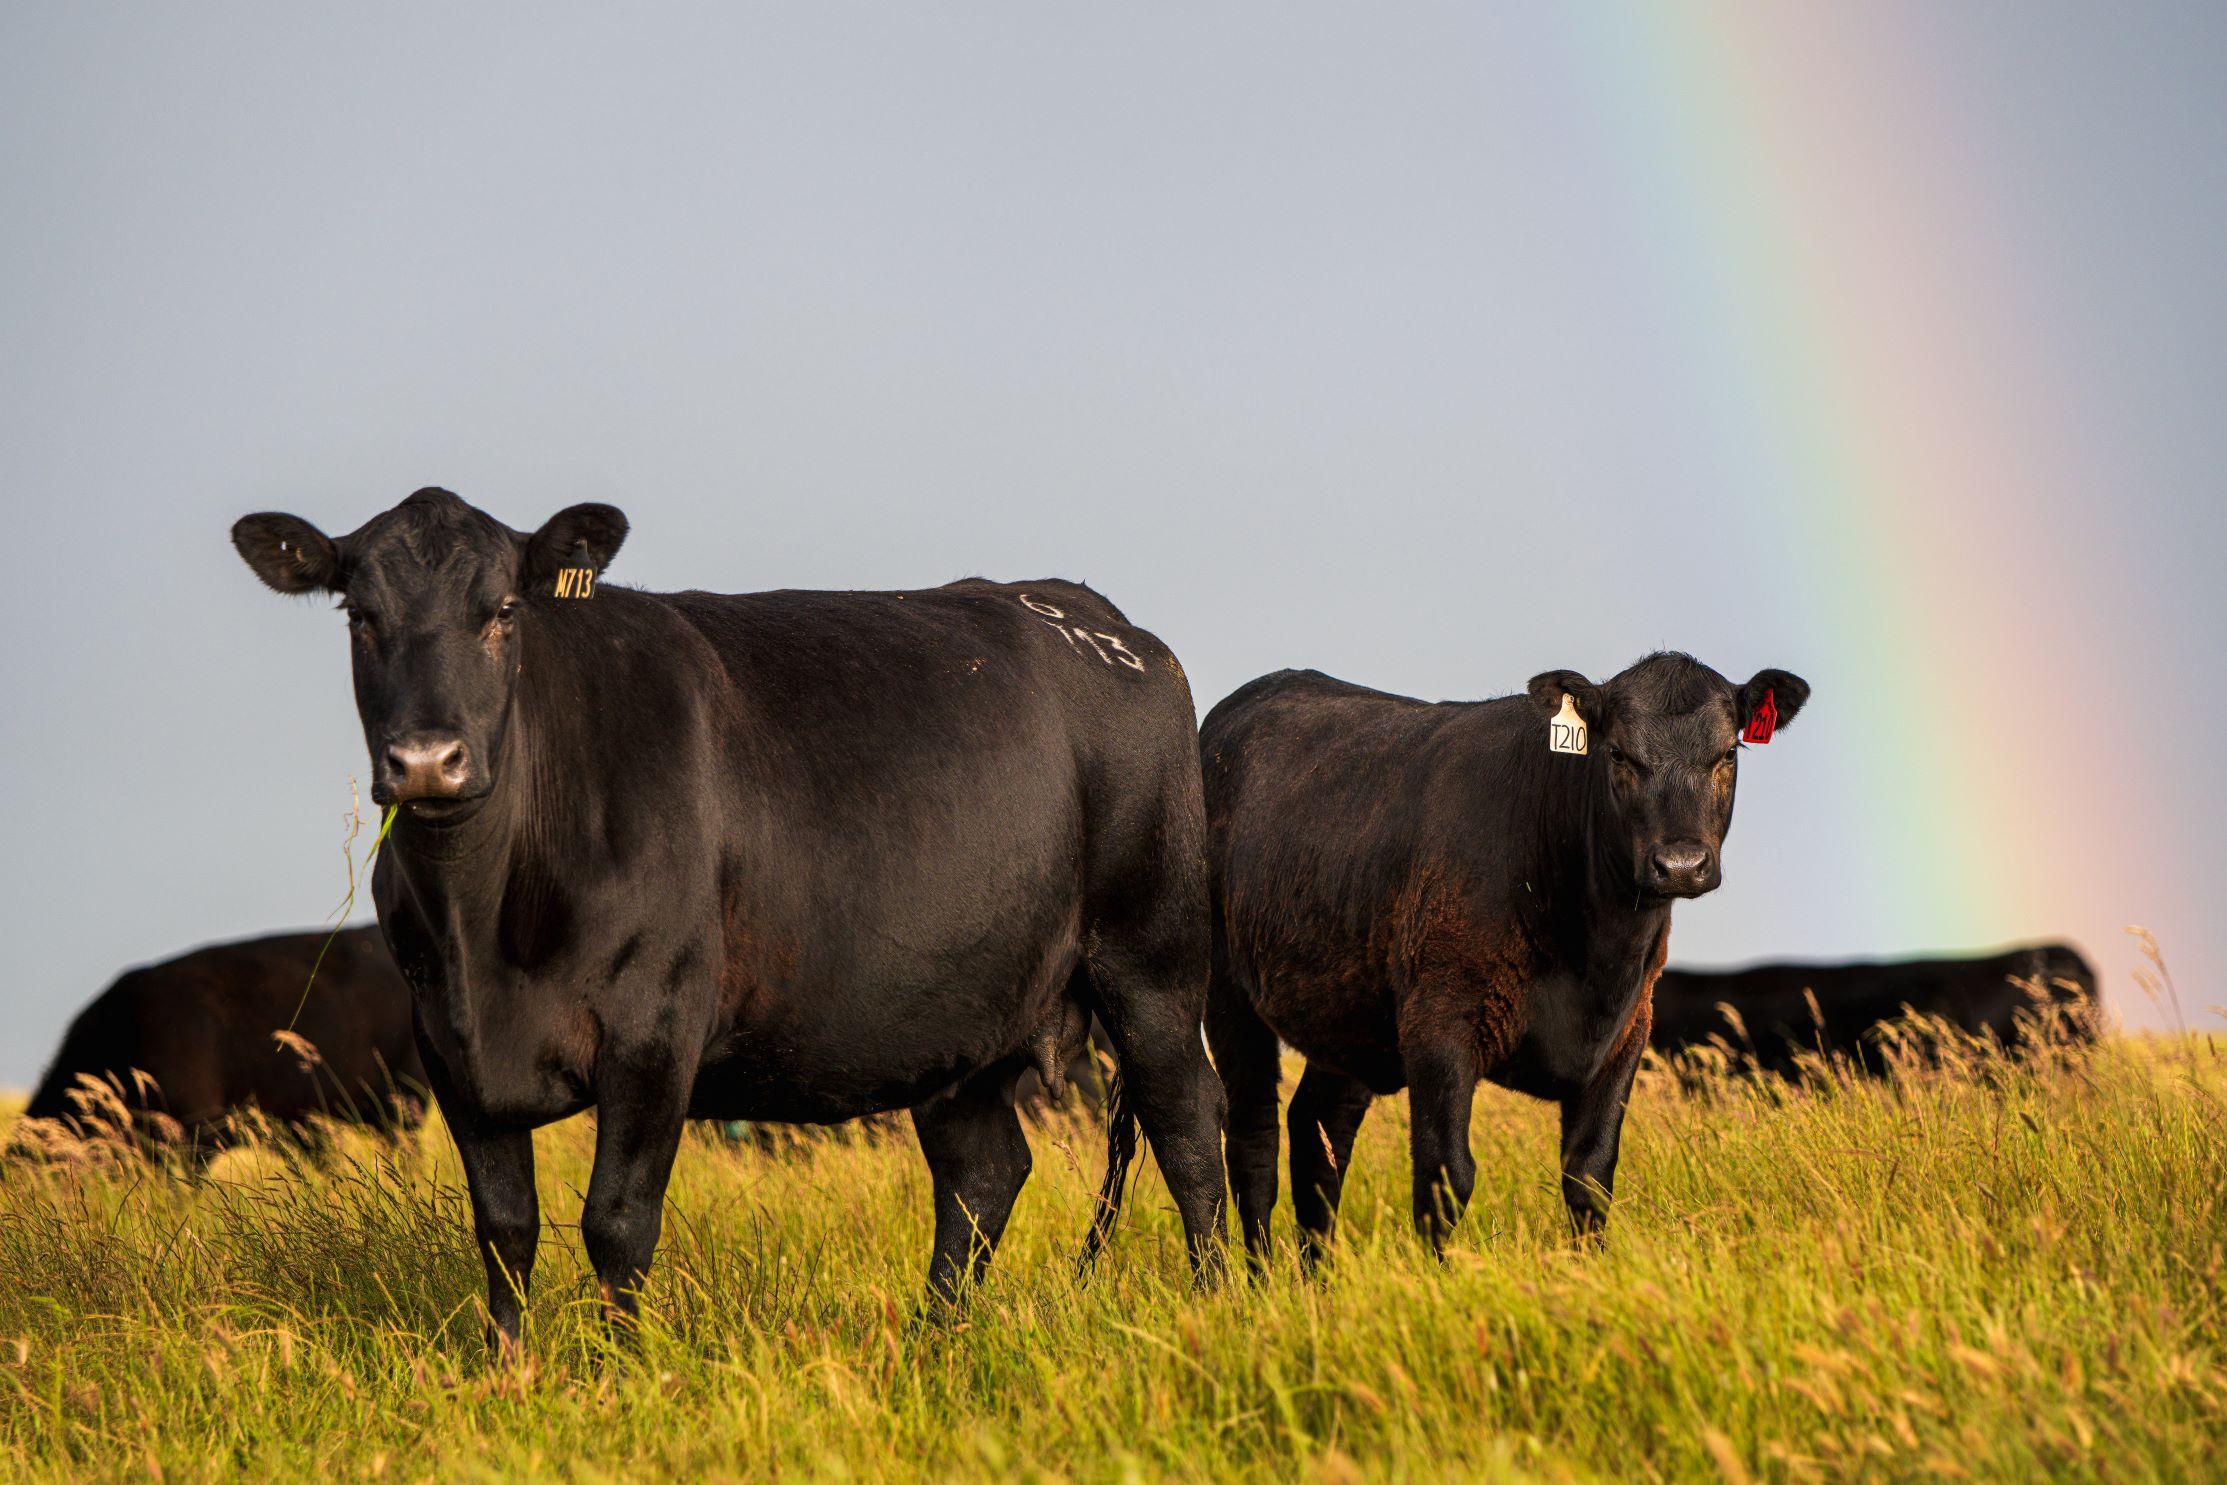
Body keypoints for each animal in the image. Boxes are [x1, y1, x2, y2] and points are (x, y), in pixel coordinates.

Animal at [230, 487, 1226, 1353]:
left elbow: (616, 1221)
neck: (488, 935)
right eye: (359, 615)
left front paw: (619, 1376)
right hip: (962, 1012)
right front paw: (506, 1376)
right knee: (981, 1174)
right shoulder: (445, 1040)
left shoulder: (655, 1025)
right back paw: (932, 1341)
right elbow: (505, 1227)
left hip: (1151, 963)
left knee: (1187, 1128)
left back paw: (1215, 1303)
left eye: (503, 609)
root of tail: (1090, 617)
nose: (428, 759)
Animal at [1200, 653, 1808, 1265]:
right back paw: (1260, 1277)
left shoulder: (1628, 1032)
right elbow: (1446, 1176)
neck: (1593, 965)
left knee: (1319, 1131)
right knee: (1254, 1139)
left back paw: (1318, 1280)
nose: (1681, 864)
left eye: (1728, 753)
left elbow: (1590, 1176)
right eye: (1617, 753)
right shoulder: (1438, 1024)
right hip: (1227, 992)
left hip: (1348, 1012)